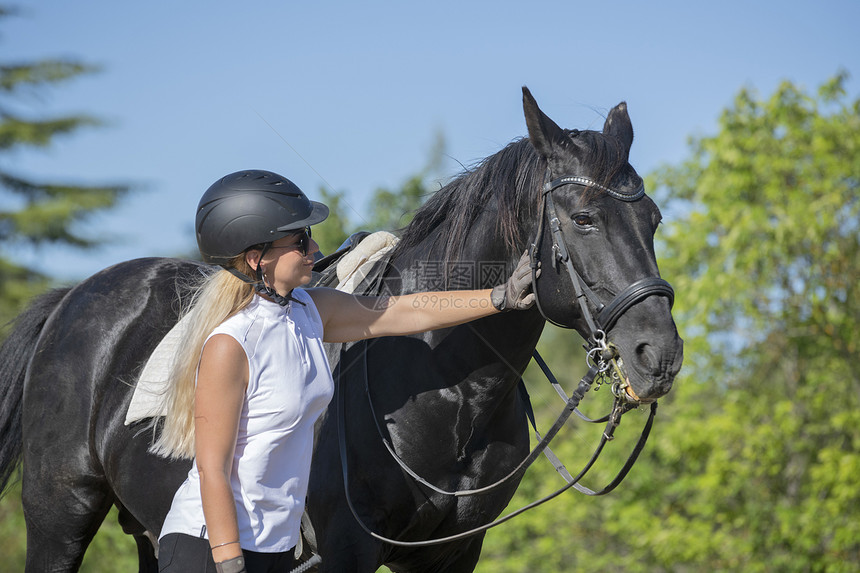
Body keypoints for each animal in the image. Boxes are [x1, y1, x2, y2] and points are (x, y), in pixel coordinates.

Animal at [1, 87, 684, 568]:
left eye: (652, 218)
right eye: (584, 218)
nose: (659, 355)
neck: (448, 392)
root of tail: (71, 299)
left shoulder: (450, 556)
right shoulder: (345, 553)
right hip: (60, 516)